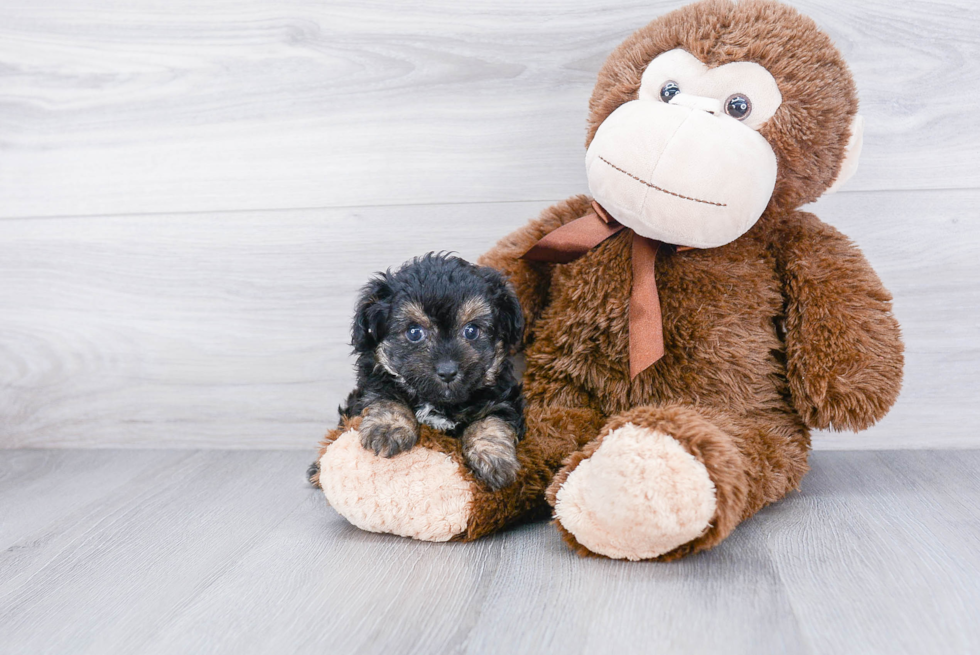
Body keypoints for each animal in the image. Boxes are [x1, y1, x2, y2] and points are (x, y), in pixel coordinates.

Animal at [314, 254, 528, 490]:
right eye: (414, 332)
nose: (447, 371)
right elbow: (386, 396)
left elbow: (490, 420)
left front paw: (493, 458)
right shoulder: (374, 382)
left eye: (471, 331)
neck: (437, 403)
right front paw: (388, 429)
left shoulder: (503, 396)